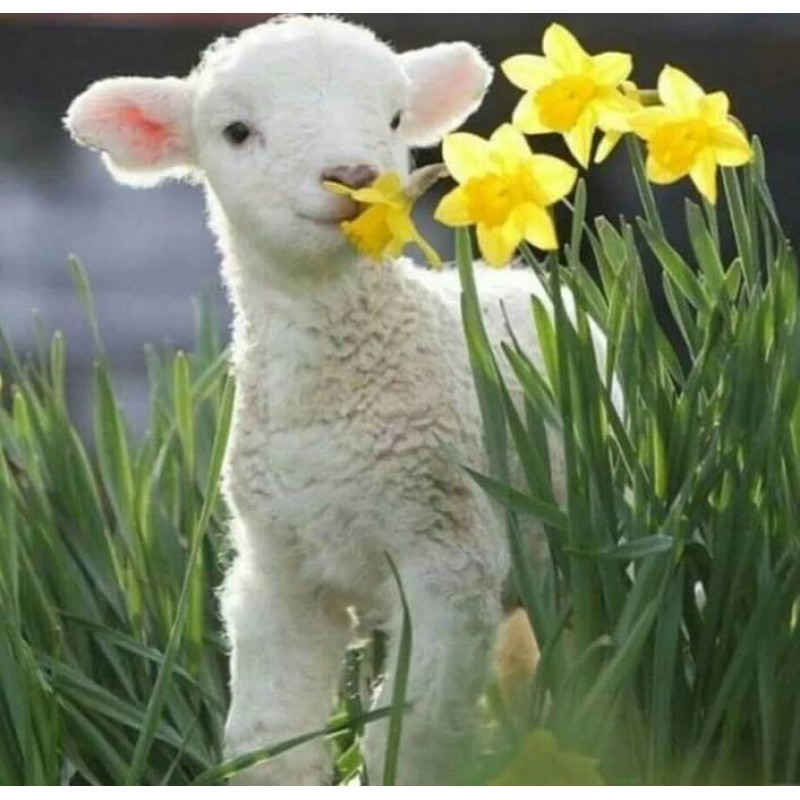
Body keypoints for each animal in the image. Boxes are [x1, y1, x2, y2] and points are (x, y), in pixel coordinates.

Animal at [64, 14, 570, 785]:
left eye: (394, 118)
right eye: (237, 130)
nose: (356, 177)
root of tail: (505, 275)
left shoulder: (448, 561)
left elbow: (414, 737)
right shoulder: (278, 572)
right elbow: (267, 740)